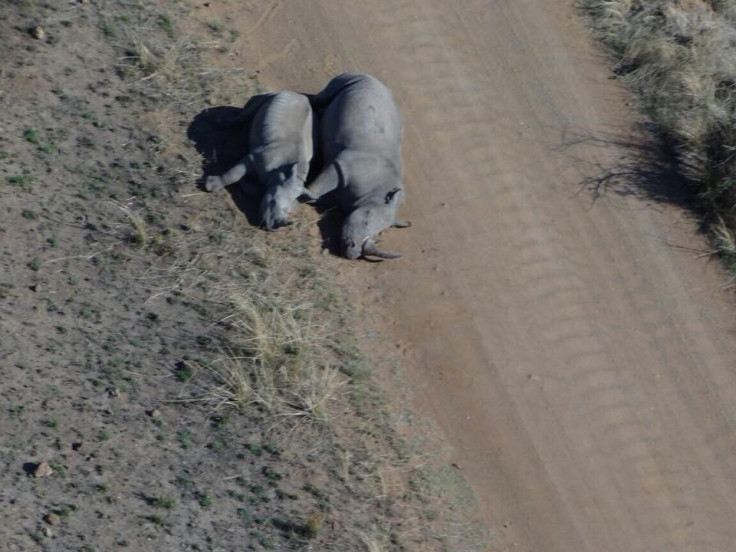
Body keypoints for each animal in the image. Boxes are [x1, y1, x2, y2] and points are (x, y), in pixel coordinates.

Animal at [204, 90, 314, 229]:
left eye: (288, 212)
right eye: (272, 202)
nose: (270, 228)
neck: (283, 175)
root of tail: (296, 94)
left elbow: (256, 190)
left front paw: (244, 184)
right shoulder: (254, 158)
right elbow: (234, 174)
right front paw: (210, 186)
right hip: (275, 94)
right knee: (252, 109)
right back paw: (219, 122)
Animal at [304, 73, 408, 258]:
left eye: (378, 237)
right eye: (366, 222)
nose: (353, 252)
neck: (372, 195)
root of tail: (375, 79)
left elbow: (323, 198)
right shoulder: (342, 166)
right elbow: (315, 190)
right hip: (354, 78)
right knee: (327, 93)